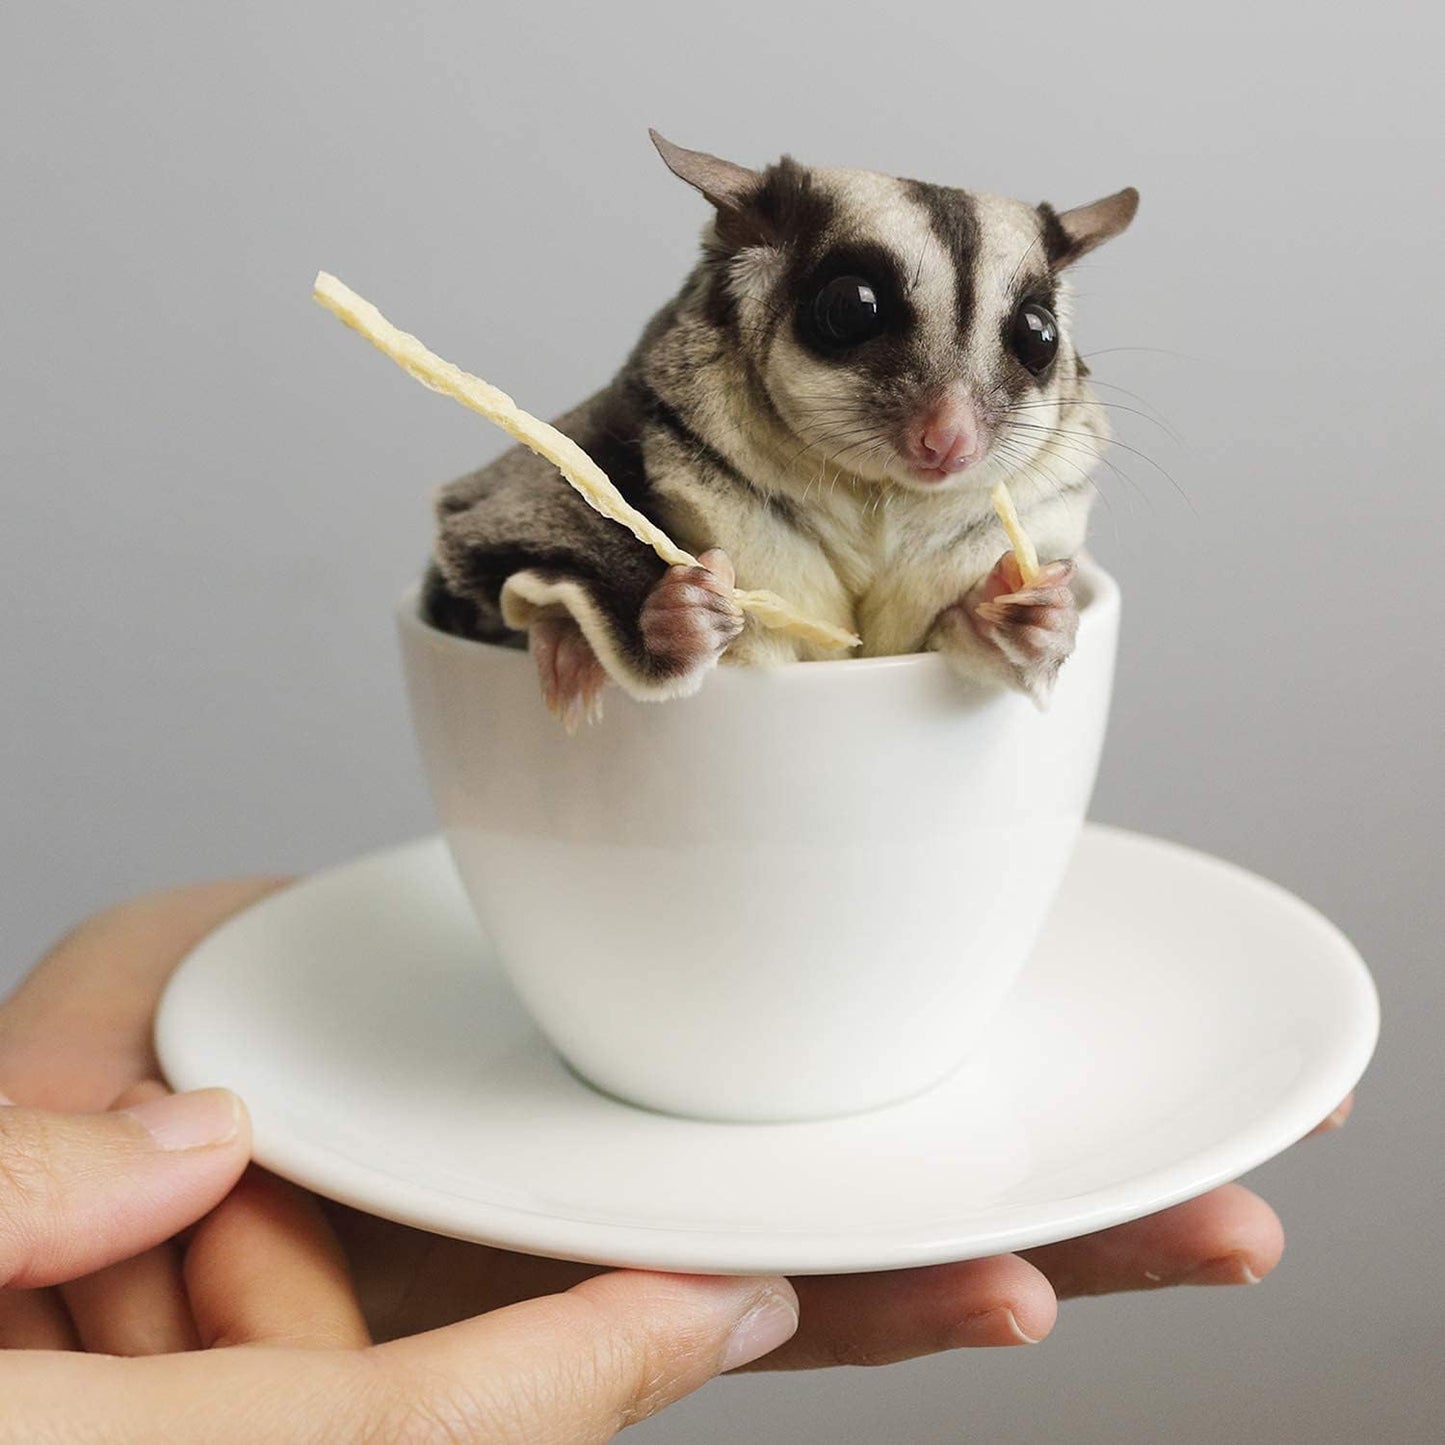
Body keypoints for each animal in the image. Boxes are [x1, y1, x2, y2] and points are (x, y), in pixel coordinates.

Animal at [423, 131, 1137, 727]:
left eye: (1038, 335)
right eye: (851, 307)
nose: (951, 437)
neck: (877, 497)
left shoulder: (1038, 509)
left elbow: (961, 635)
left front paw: (1038, 622)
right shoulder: (541, 488)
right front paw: (668, 621)